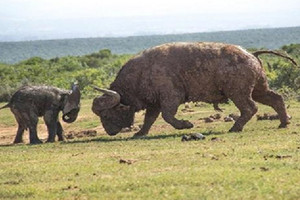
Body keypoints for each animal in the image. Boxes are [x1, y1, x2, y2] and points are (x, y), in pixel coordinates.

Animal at [92, 42, 296, 138]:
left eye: (107, 114)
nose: (109, 131)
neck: (142, 72)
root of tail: (251, 55)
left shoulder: (171, 98)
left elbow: (168, 116)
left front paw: (186, 125)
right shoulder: (154, 103)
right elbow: (149, 119)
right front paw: (140, 133)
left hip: (239, 93)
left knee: (250, 108)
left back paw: (235, 127)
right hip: (258, 90)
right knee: (276, 99)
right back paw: (283, 122)